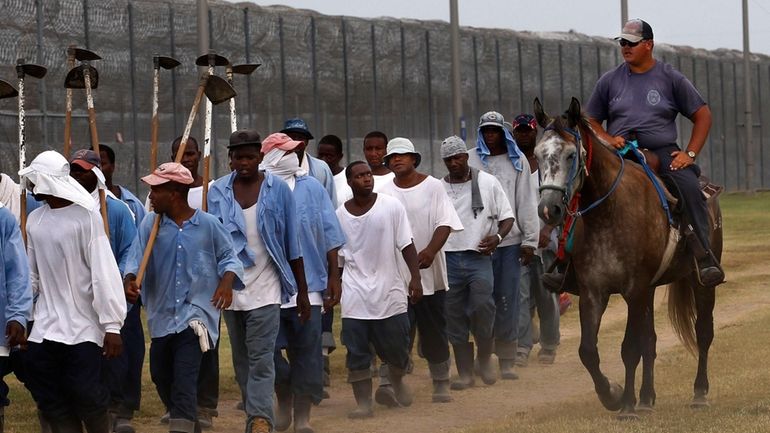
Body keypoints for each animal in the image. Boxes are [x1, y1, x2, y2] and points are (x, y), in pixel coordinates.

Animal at [528, 96, 720, 416]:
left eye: (571, 155)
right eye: (537, 154)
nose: (548, 209)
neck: (609, 213)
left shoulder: (634, 289)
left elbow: (629, 349)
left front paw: (626, 405)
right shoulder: (594, 292)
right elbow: (589, 351)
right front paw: (614, 395)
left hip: (699, 281)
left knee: (703, 332)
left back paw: (699, 393)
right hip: (651, 290)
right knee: (650, 341)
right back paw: (647, 398)